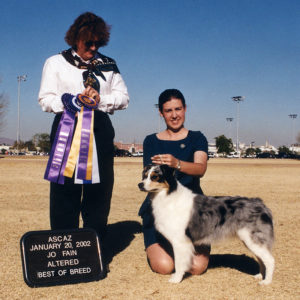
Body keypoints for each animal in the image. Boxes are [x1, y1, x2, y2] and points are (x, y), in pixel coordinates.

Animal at [138, 164, 274, 284]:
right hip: (249, 241)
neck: (168, 196)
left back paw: (266, 281)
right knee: (261, 259)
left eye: (155, 177)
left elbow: (179, 263)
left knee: (270, 260)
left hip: (253, 239)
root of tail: (261, 204)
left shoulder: (180, 242)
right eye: (144, 175)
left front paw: (176, 279)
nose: (140, 185)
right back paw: (260, 275)